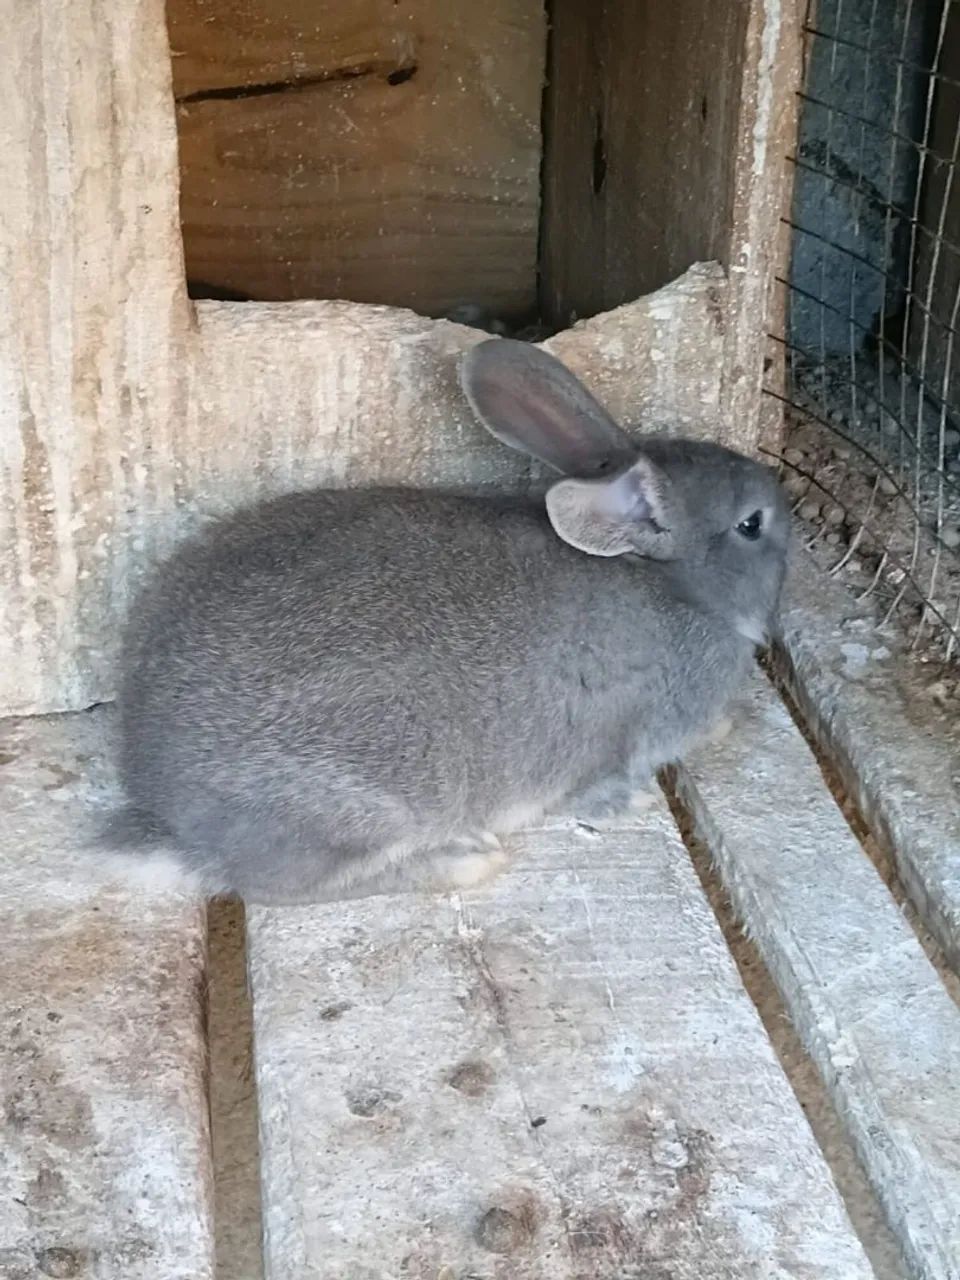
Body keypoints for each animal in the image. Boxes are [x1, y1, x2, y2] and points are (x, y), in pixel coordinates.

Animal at [112, 339, 789, 904]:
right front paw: (640, 796)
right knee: (285, 886)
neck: (677, 590)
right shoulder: (613, 740)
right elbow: (600, 788)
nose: (786, 515)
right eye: (751, 524)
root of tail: (170, 816)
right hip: (374, 802)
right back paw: (464, 860)